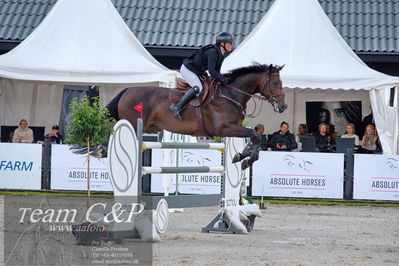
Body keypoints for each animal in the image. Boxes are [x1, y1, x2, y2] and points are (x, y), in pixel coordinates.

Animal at [106, 63, 288, 144]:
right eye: (274, 83)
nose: (283, 106)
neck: (230, 94)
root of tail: (127, 90)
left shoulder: (233, 128)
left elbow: (254, 135)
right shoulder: (223, 128)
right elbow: (254, 134)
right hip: (133, 124)